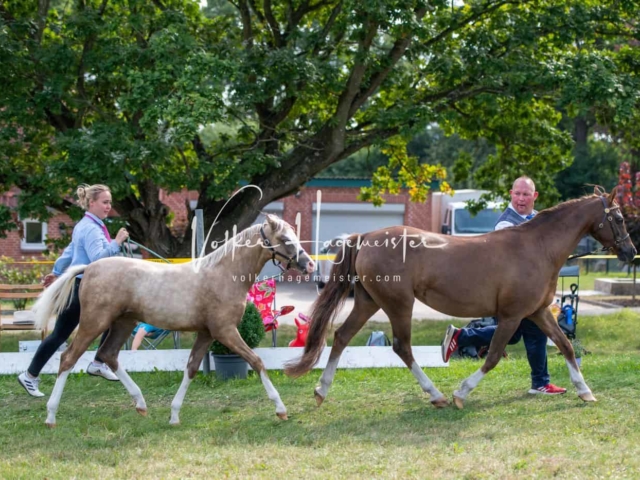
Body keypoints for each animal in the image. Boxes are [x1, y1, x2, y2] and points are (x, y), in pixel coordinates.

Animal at [34, 215, 316, 428]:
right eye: (285, 239)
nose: (310, 265)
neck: (223, 274)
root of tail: (88, 269)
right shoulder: (225, 332)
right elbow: (257, 362)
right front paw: (280, 409)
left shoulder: (207, 333)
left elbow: (191, 368)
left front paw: (174, 415)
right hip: (95, 322)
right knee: (68, 358)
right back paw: (50, 416)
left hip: (124, 323)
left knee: (108, 354)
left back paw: (141, 404)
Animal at [288, 188, 636, 408]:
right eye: (619, 218)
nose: (630, 252)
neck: (537, 247)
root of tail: (366, 237)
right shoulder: (511, 316)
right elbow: (492, 356)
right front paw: (461, 394)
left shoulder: (537, 312)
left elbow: (565, 345)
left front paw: (585, 391)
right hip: (399, 304)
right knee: (401, 347)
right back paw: (437, 395)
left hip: (367, 301)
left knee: (342, 336)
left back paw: (321, 391)